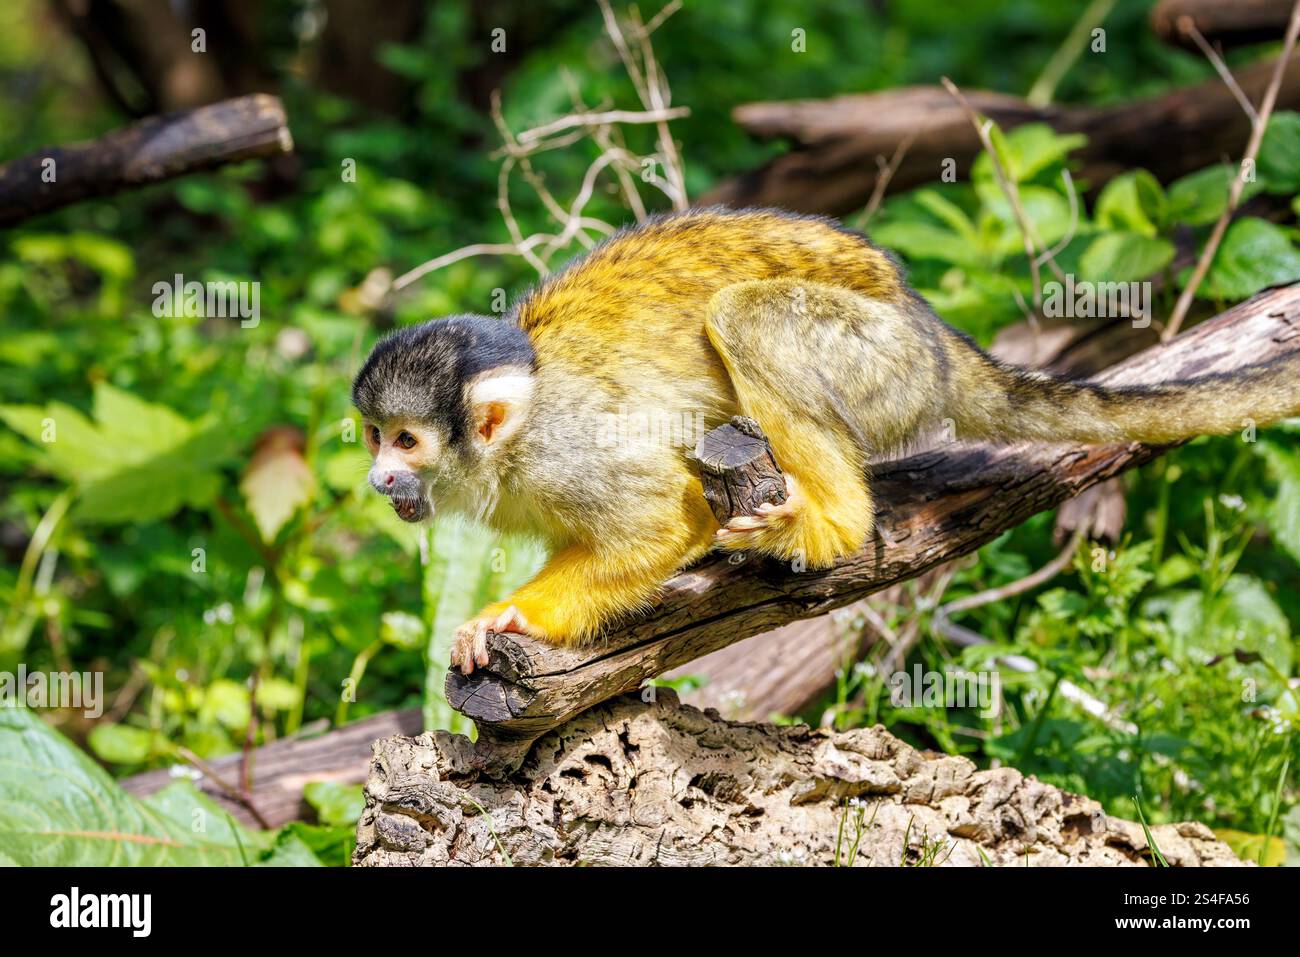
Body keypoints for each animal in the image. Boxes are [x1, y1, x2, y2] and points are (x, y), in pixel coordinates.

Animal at [351, 207, 1300, 674]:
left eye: (407, 440)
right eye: (371, 436)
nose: (376, 479)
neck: (508, 446)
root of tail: (933, 334)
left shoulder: (565, 449)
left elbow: (665, 516)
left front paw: (509, 615)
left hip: (879, 359)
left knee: (750, 317)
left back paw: (827, 523)